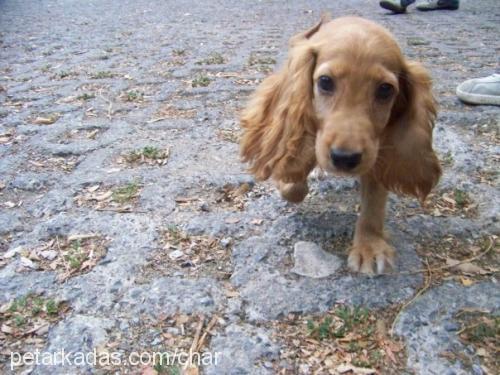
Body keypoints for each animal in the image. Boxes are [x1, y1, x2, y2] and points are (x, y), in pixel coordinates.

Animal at [240, 16, 440, 274]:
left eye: (385, 89)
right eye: (325, 82)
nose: (345, 158)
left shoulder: (377, 152)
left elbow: (374, 203)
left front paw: (369, 246)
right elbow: (295, 181)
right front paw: (288, 183)